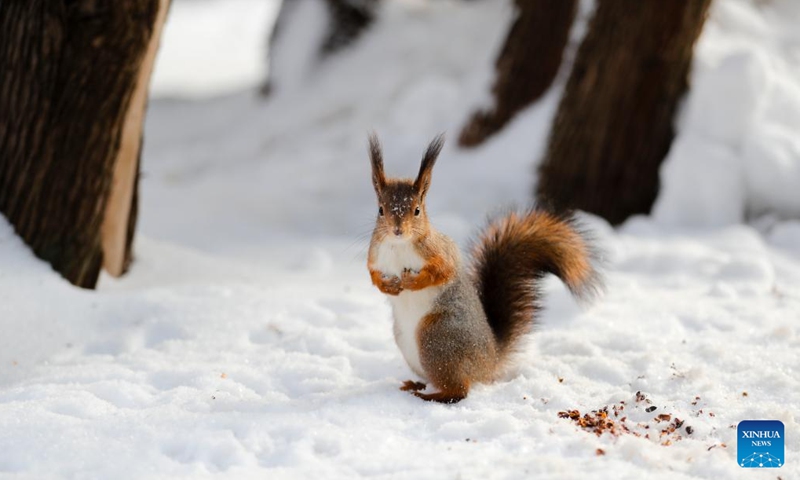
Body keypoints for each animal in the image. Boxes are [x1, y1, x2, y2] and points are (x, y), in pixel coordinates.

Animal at [366, 133, 604, 404]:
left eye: (417, 210)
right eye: (381, 209)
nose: (397, 229)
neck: (398, 245)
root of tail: (489, 362)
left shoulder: (441, 252)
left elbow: (442, 272)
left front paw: (411, 282)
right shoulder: (374, 255)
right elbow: (372, 275)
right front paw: (388, 286)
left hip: (436, 339)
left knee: (459, 391)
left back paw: (430, 396)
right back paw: (416, 385)